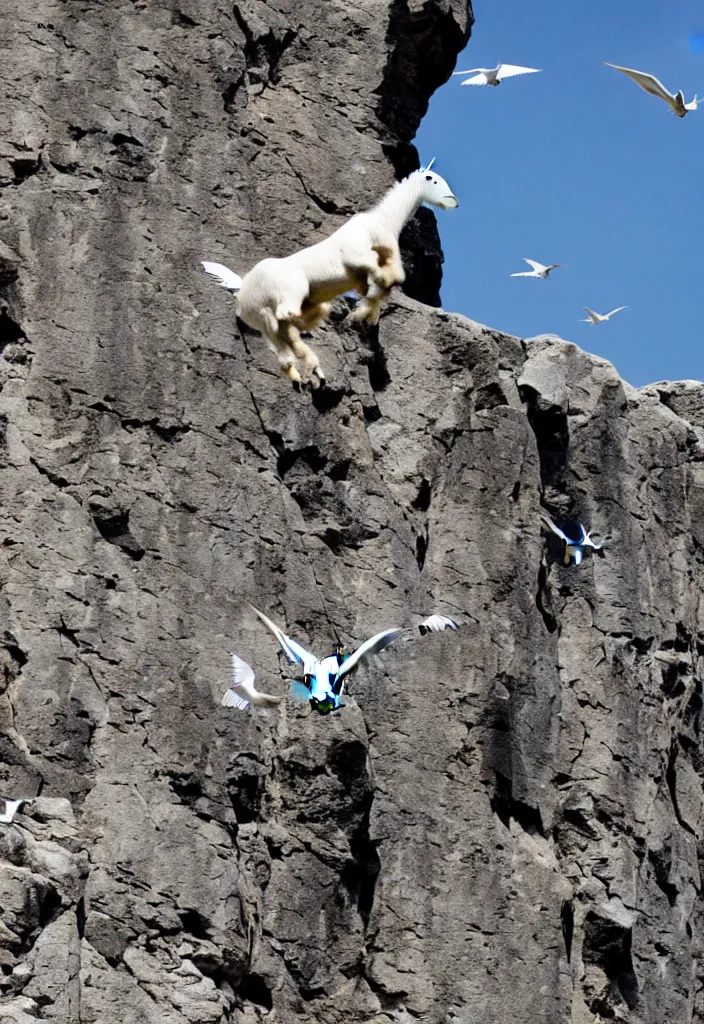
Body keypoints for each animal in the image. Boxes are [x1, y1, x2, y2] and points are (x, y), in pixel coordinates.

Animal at [200, 163, 458, 387]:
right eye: (434, 179)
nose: (453, 202)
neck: (382, 222)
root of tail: (243, 287)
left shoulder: (362, 273)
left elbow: (376, 287)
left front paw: (365, 313)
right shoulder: (358, 255)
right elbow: (389, 278)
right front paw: (362, 313)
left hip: (263, 321)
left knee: (283, 344)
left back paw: (309, 373)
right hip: (290, 294)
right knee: (287, 318)